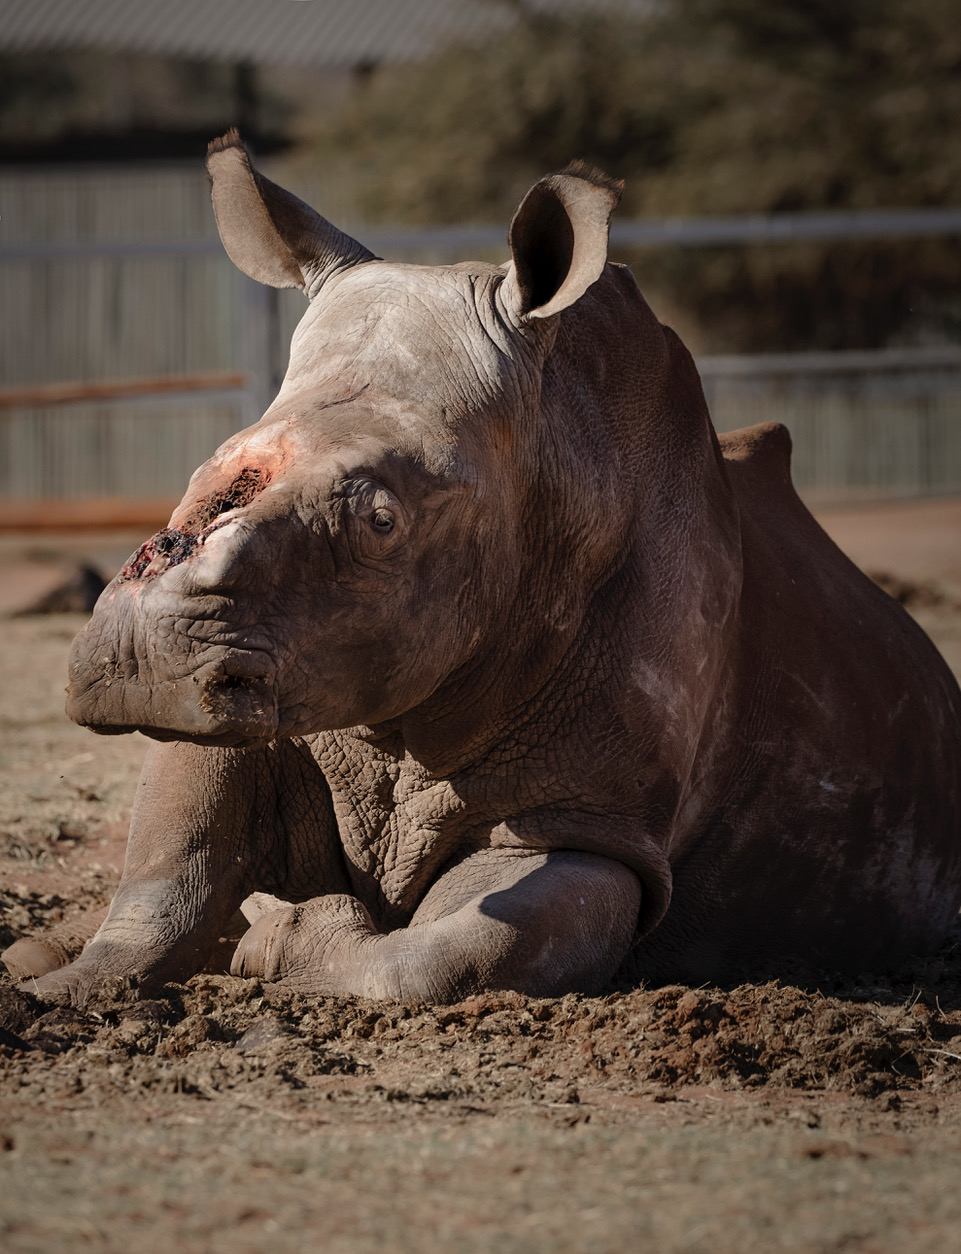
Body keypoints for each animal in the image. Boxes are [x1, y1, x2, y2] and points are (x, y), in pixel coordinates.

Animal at [6, 132, 961, 1005]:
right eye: (206, 469)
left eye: (381, 518)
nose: (140, 658)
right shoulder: (263, 685)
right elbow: (166, 876)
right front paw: (52, 984)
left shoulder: (590, 822)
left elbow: (451, 955)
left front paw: (273, 935)